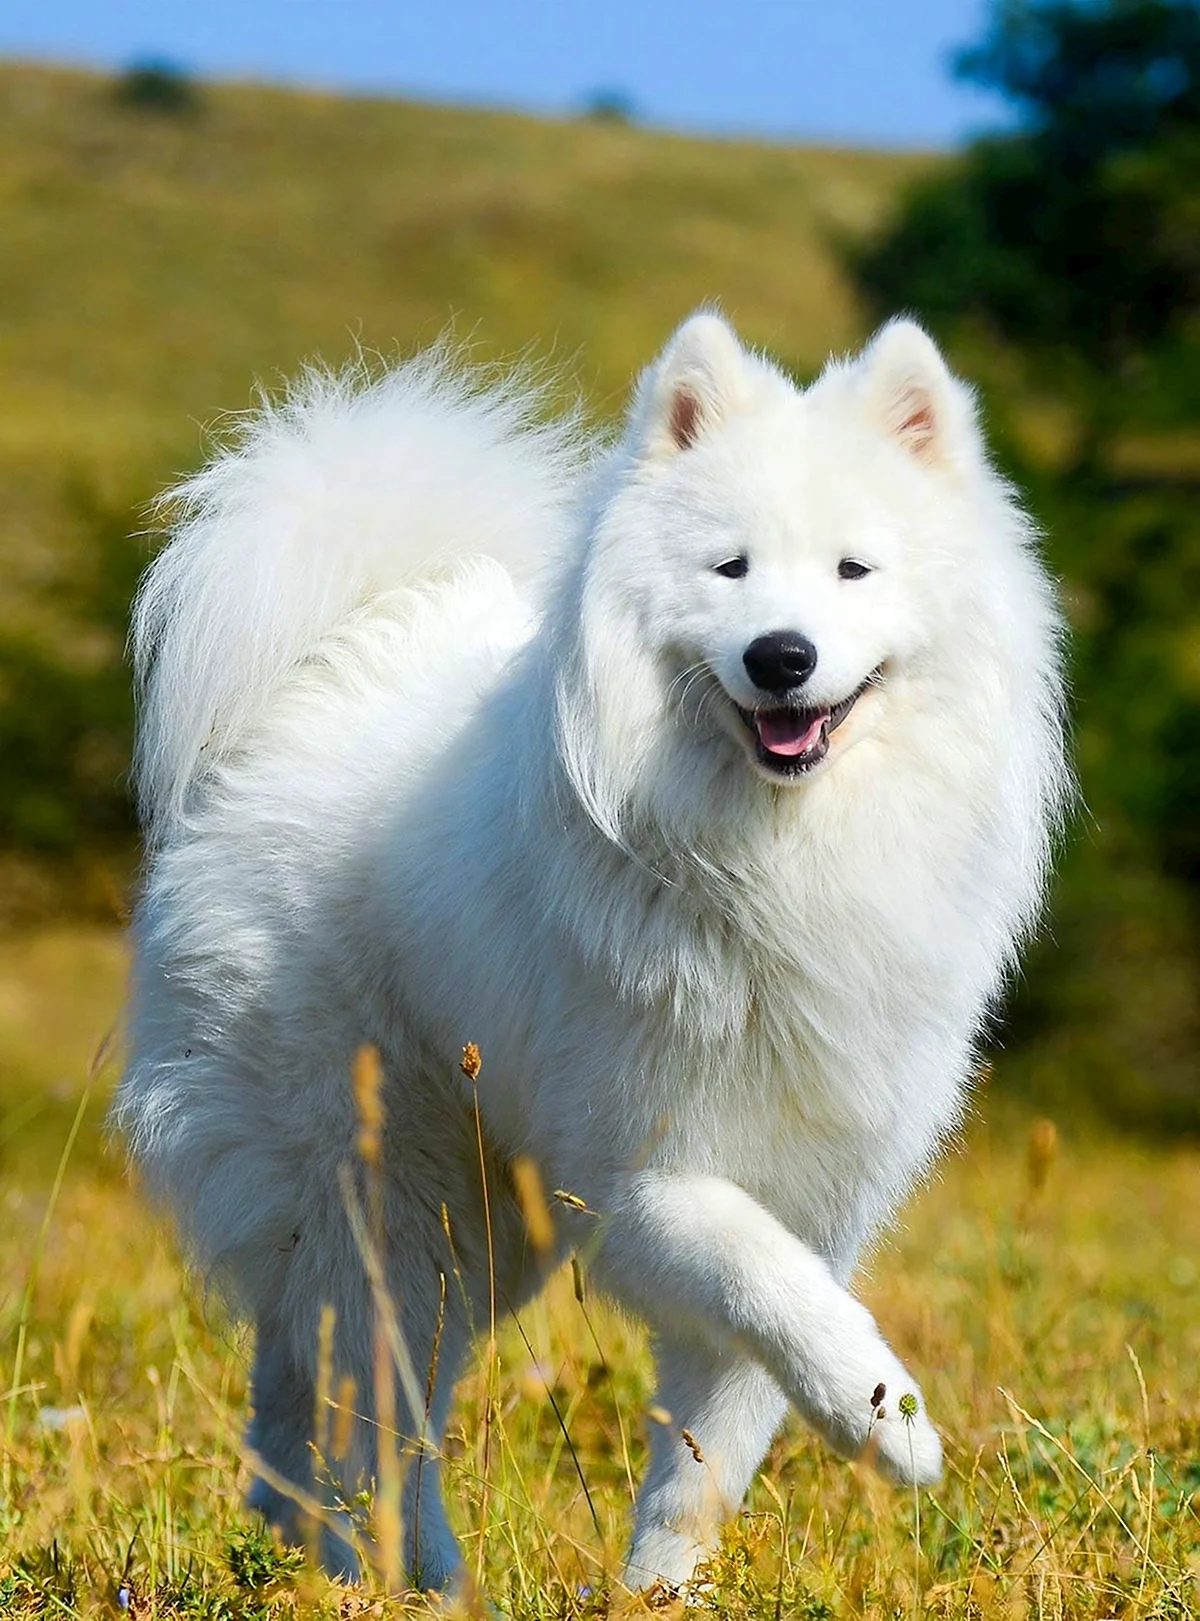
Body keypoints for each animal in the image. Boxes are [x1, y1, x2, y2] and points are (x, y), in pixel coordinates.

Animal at [112, 316, 1070, 1595]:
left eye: (853, 571)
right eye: (730, 570)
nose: (782, 655)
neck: (775, 858)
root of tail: (327, 667)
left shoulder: (815, 1186)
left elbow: (714, 1446)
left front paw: (666, 1591)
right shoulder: (640, 1175)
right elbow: (770, 1287)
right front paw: (891, 1421)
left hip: (471, 1226)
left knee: (298, 1397)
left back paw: (316, 1550)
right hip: (399, 1200)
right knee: (377, 1413)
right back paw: (426, 1582)